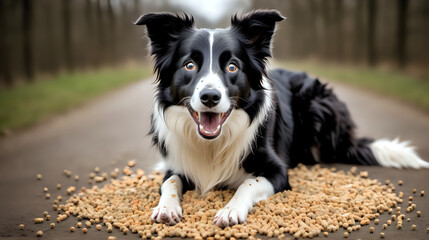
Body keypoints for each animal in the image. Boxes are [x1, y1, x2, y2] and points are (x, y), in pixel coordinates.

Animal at [134, 9, 428, 227]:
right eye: (189, 65)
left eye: (232, 67)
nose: (210, 97)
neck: (213, 144)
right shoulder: (177, 164)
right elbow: (170, 182)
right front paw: (166, 207)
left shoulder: (277, 171)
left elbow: (248, 182)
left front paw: (230, 210)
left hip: (316, 106)